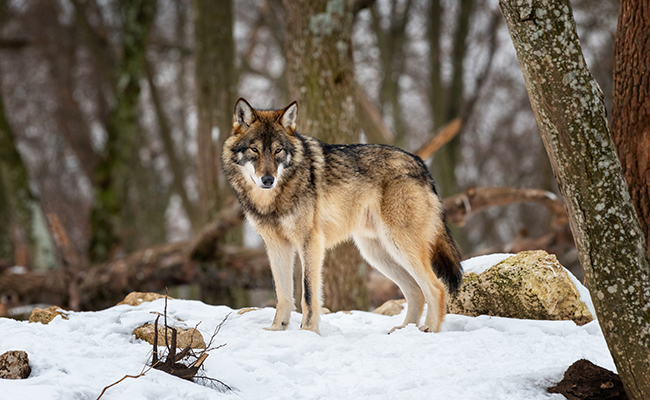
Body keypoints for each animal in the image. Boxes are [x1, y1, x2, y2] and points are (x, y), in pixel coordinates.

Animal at [221, 97, 460, 334]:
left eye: (278, 150)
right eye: (254, 149)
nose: (268, 180)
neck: (272, 199)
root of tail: (421, 164)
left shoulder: (311, 242)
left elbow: (308, 294)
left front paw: (308, 332)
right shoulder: (276, 245)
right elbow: (283, 295)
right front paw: (276, 329)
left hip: (399, 245)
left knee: (436, 287)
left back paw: (429, 329)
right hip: (377, 253)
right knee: (415, 290)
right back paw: (404, 330)